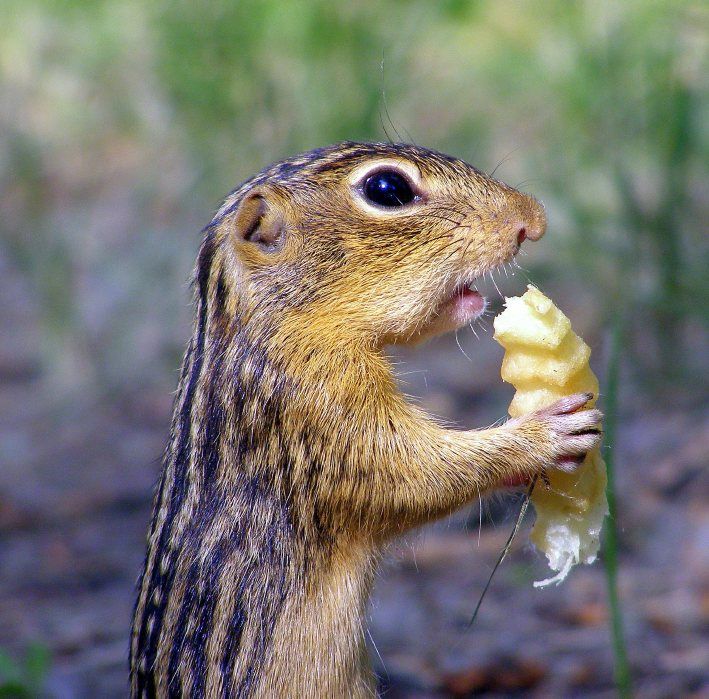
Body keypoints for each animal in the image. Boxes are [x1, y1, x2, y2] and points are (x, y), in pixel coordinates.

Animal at [130, 139, 600, 696]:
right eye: (387, 189)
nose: (534, 218)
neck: (271, 331)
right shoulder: (318, 415)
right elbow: (413, 475)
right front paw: (545, 434)